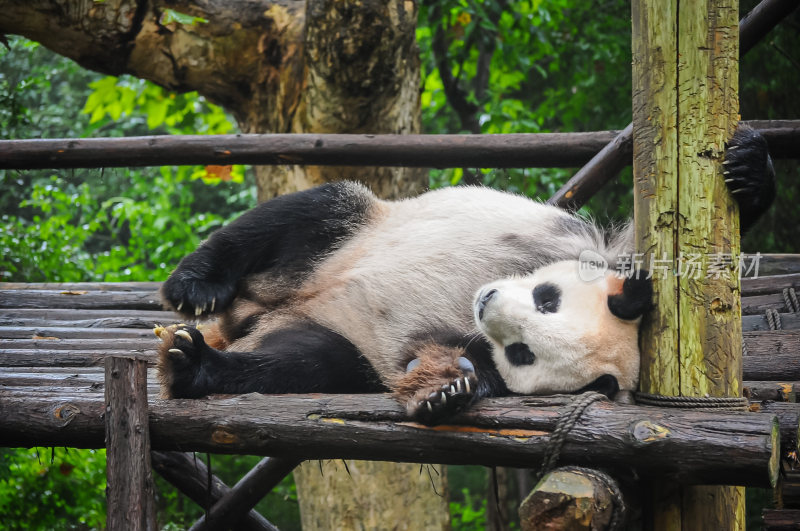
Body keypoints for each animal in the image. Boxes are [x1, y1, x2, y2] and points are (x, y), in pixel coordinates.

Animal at [156, 124, 776, 424]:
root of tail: (253, 313)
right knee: (306, 215)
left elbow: (439, 358)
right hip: (351, 234)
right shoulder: (587, 247)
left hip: (333, 336)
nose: (487, 303)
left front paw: (446, 391)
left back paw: (197, 367)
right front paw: (747, 170)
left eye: (524, 352)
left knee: (305, 362)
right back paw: (194, 288)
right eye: (547, 297)